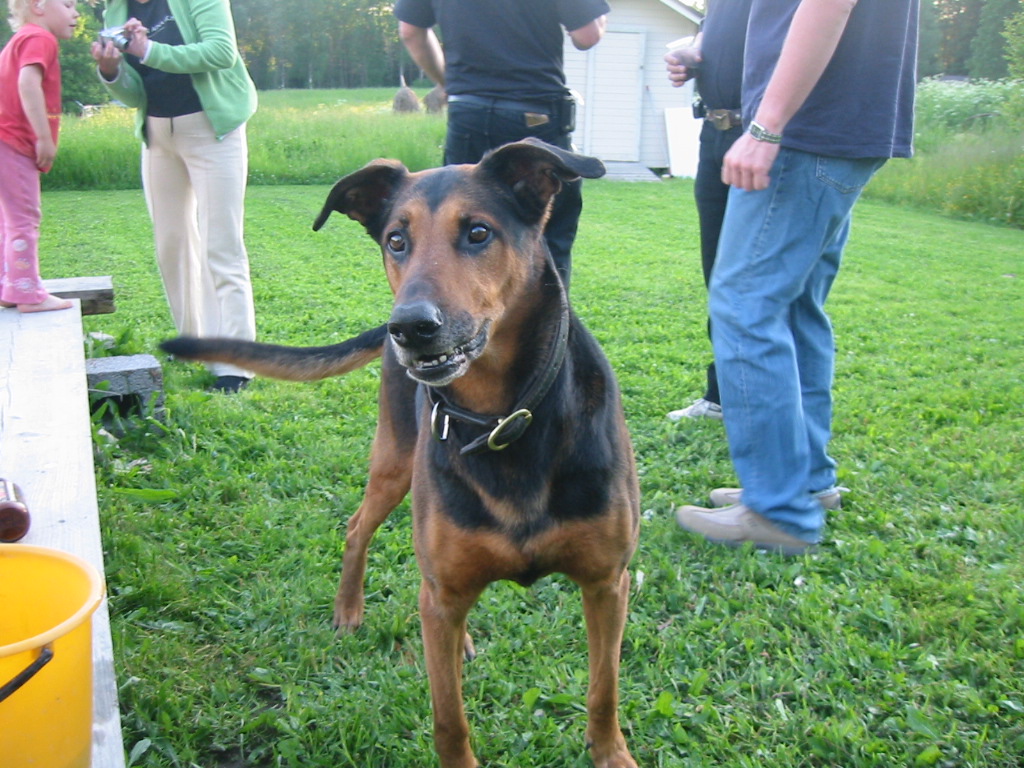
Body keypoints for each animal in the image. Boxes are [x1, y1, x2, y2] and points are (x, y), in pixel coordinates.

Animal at [161, 139, 640, 768]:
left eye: (479, 232)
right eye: (396, 240)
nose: (409, 328)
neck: (504, 419)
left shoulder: (608, 582)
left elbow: (605, 689)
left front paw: (610, 752)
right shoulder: (444, 590)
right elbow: (448, 720)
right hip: (394, 465)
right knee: (359, 529)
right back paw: (349, 611)